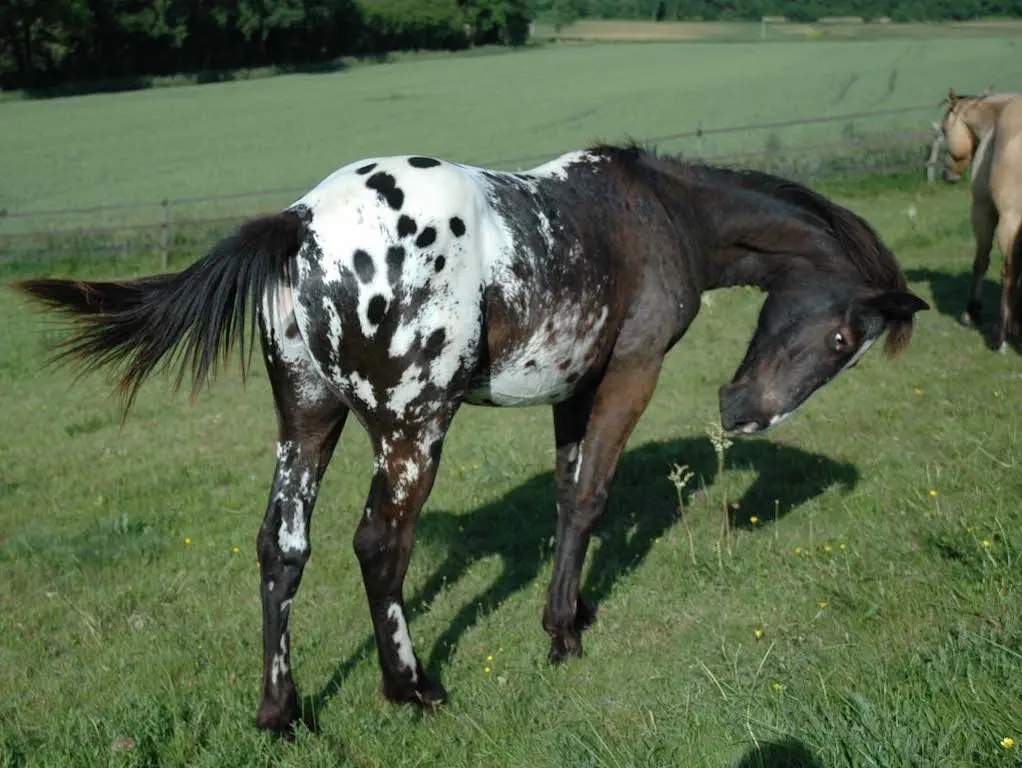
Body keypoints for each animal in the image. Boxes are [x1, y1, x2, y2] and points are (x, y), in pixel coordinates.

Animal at [12, 141, 932, 736]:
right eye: (842, 342)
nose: (740, 413)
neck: (656, 209)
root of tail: (300, 225)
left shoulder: (573, 388)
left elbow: (565, 497)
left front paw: (572, 610)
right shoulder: (629, 375)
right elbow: (591, 496)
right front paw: (562, 634)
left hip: (307, 421)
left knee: (283, 547)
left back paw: (282, 713)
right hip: (415, 428)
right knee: (379, 544)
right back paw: (413, 691)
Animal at [936, 86, 1021, 347]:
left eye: (944, 130)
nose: (946, 174)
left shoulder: (983, 211)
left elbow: (981, 261)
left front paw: (972, 312)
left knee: (1009, 273)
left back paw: (1002, 336)